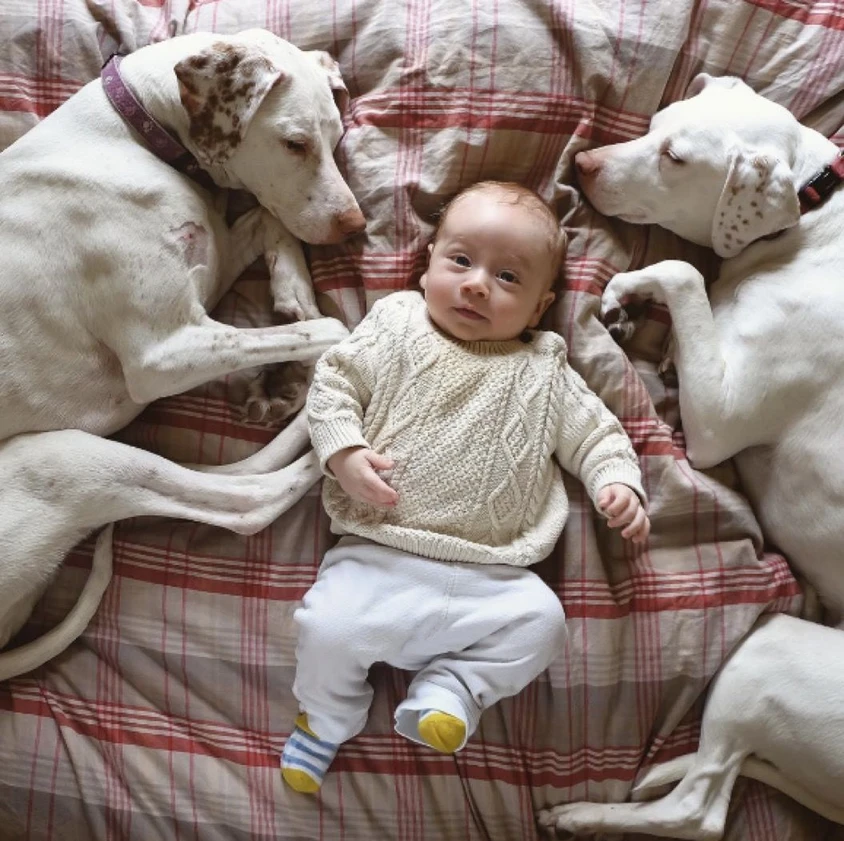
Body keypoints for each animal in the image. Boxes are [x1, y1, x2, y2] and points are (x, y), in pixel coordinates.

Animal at [0, 29, 366, 680]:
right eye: (294, 143)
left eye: (336, 137)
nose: (355, 225)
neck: (130, 131)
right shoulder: (164, 353)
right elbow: (332, 325)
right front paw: (308, 342)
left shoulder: (212, 260)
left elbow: (271, 226)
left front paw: (291, 300)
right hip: (51, 462)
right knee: (246, 504)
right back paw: (328, 441)